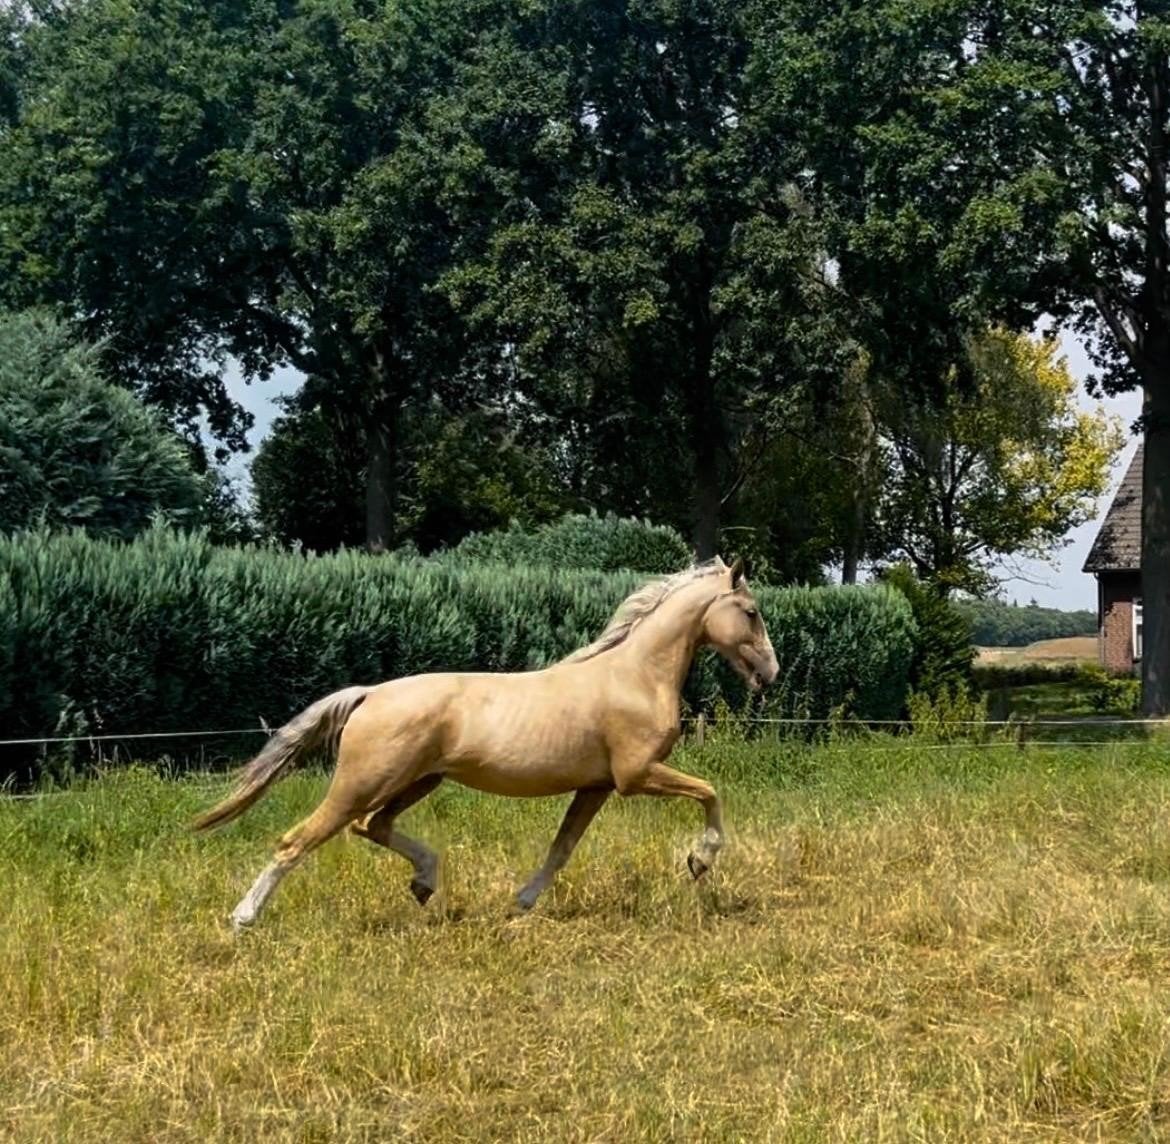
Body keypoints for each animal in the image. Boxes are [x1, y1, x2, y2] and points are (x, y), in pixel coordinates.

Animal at [194, 555, 779, 931]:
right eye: (751, 612)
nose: (770, 673)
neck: (635, 676)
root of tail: (369, 694)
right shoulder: (636, 776)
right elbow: (710, 792)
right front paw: (699, 861)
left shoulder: (595, 787)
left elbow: (562, 848)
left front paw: (522, 902)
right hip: (363, 783)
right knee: (298, 840)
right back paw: (243, 919)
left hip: (417, 782)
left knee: (372, 827)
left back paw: (425, 884)